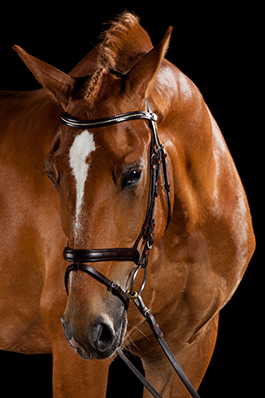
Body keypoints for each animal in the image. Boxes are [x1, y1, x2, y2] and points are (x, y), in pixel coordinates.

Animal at [0, 13, 255, 398]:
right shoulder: (76, 358)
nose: (86, 327)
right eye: (51, 174)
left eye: (134, 173)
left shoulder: (188, 349)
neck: (179, 237)